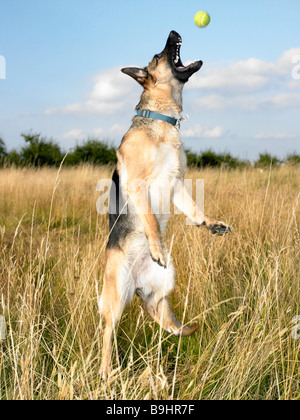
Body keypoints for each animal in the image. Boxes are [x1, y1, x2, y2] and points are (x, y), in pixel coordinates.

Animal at [98, 29, 230, 378]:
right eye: (158, 57)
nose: (173, 32)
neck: (161, 119)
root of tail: (139, 284)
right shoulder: (138, 184)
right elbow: (150, 220)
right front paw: (157, 246)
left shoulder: (177, 184)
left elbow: (195, 209)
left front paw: (210, 223)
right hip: (115, 300)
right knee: (108, 332)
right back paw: (106, 371)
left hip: (162, 292)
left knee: (168, 323)